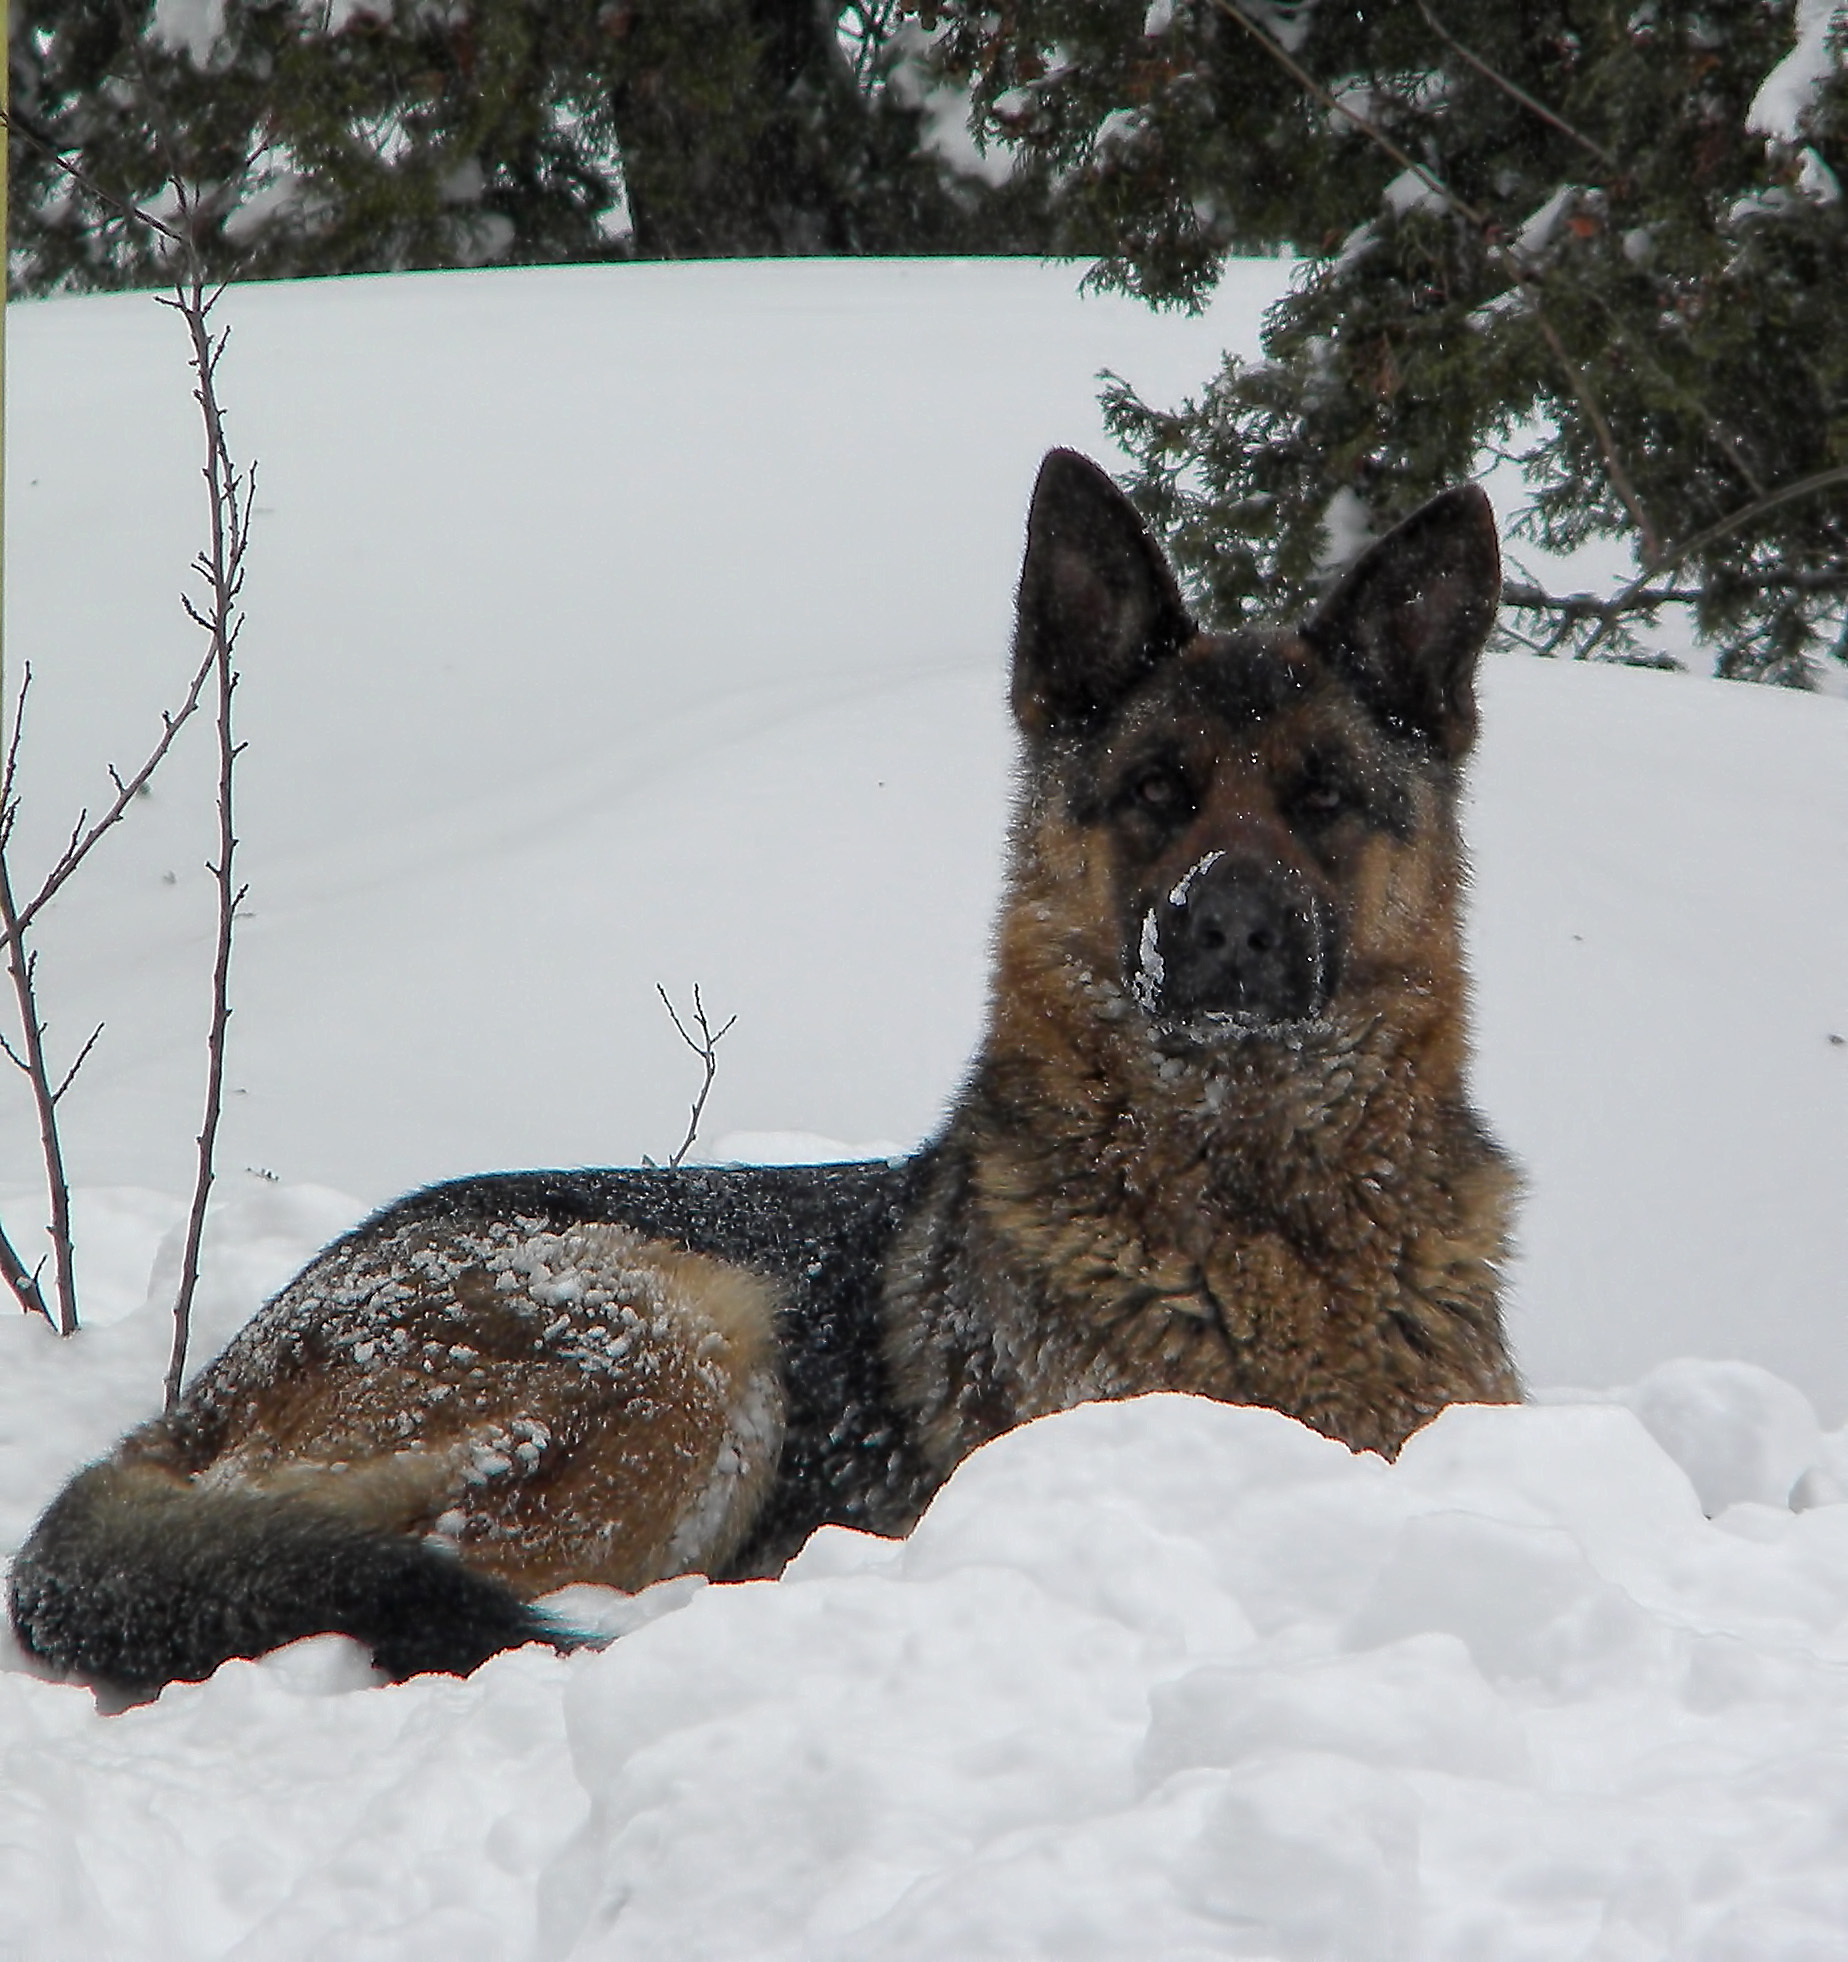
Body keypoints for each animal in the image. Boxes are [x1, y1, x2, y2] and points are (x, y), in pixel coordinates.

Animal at [7, 451, 1530, 1695]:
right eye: (1159, 789)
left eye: (1325, 798)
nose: (1229, 930)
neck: (1261, 1208)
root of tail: (203, 1394)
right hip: (683, 1331)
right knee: (439, 1572)